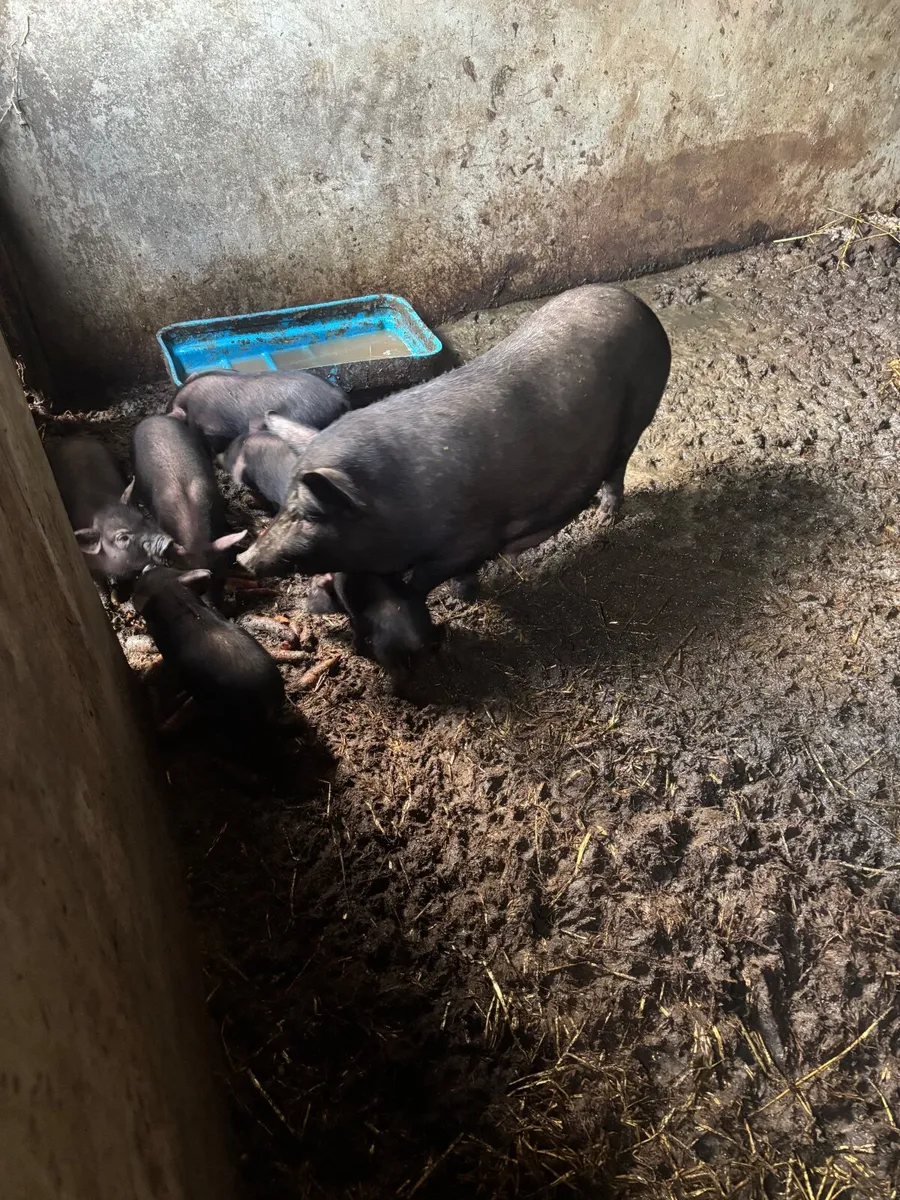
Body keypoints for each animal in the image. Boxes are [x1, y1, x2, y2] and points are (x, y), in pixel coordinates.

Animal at [236, 285, 671, 593]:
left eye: (311, 515)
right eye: (283, 502)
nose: (245, 559)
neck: (393, 499)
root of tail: (634, 301)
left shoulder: (467, 540)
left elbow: (431, 579)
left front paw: (457, 598)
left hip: (641, 407)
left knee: (618, 465)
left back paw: (605, 516)